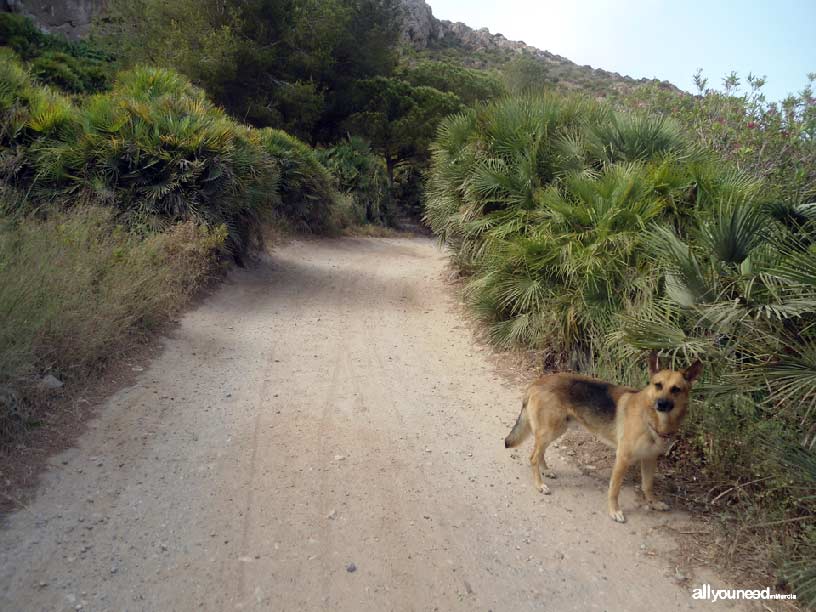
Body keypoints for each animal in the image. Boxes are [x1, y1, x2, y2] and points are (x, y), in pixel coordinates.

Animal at [504, 352, 700, 524]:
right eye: (658, 385)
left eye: (676, 389)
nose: (661, 404)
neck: (651, 418)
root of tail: (536, 382)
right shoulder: (623, 458)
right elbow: (614, 489)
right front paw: (614, 511)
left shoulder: (650, 459)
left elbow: (648, 485)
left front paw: (654, 503)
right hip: (550, 430)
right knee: (533, 456)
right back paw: (539, 484)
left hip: (556, 429)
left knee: (540, 452)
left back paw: (545, 470)